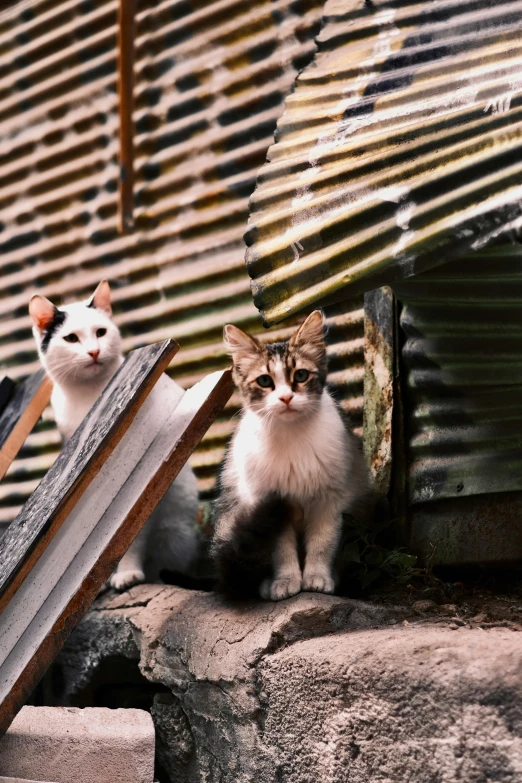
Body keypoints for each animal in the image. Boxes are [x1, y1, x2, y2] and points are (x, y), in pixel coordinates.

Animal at [29, 278, 198, 592]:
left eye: (101, 332)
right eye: (71, 338)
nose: (94, 351)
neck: (91, 394)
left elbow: (126, 536)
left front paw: (127, 573)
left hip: (174, 531)